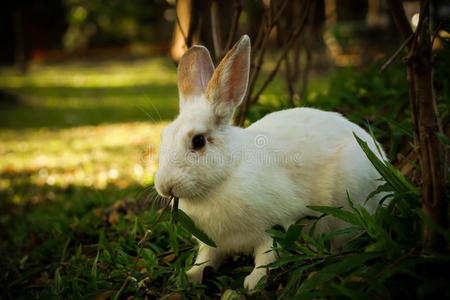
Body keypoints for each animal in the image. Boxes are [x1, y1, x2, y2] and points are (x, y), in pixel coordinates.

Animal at [155, 35, 386, 290]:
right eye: (164, 136)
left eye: (198, 141)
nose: (164, 186)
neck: (227, 174)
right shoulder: (212, 243)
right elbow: (206, 258)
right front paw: (189, 276)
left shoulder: (275, 226)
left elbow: (268, 256)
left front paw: (252, 283)